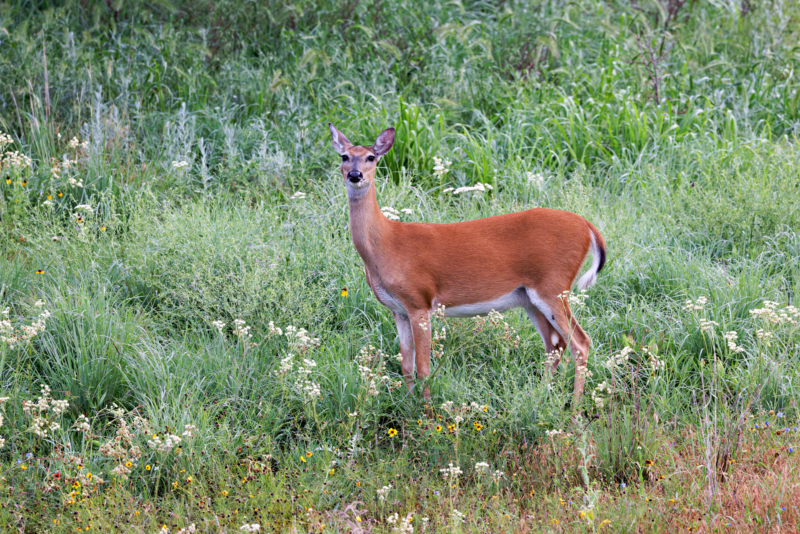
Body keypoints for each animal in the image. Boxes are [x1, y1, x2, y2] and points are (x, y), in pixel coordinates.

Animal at [328, 124, 608, 406]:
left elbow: (424, 367)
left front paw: (427, 414)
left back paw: (573, 410)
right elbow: (406, 366)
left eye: (371, 157)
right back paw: (537, 398)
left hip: (553, 285)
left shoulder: (419, 301)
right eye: (344, 156)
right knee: (555, 344)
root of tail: (588, 227)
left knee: (580, 343)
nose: (355, 175)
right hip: (530, 297)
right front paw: (408, 408)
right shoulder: (398, 309)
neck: (386, 244)